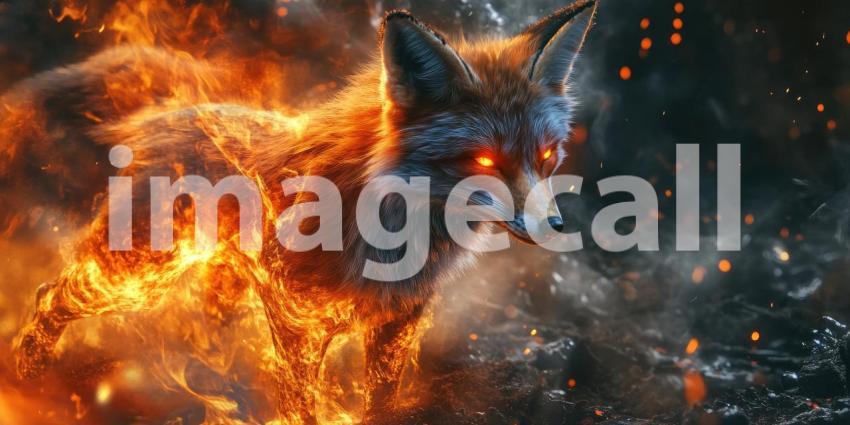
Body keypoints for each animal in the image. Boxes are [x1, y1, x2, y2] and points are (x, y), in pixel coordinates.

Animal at [4, 1, 597, 422]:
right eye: (484, 161)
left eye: (547, 156)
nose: (556, 228)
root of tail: (174, 111)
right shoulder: (295, 318)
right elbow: (299, 406)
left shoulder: (398, 323)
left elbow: (381, 403)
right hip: (133, 275)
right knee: (50, 293)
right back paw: (29, 375)